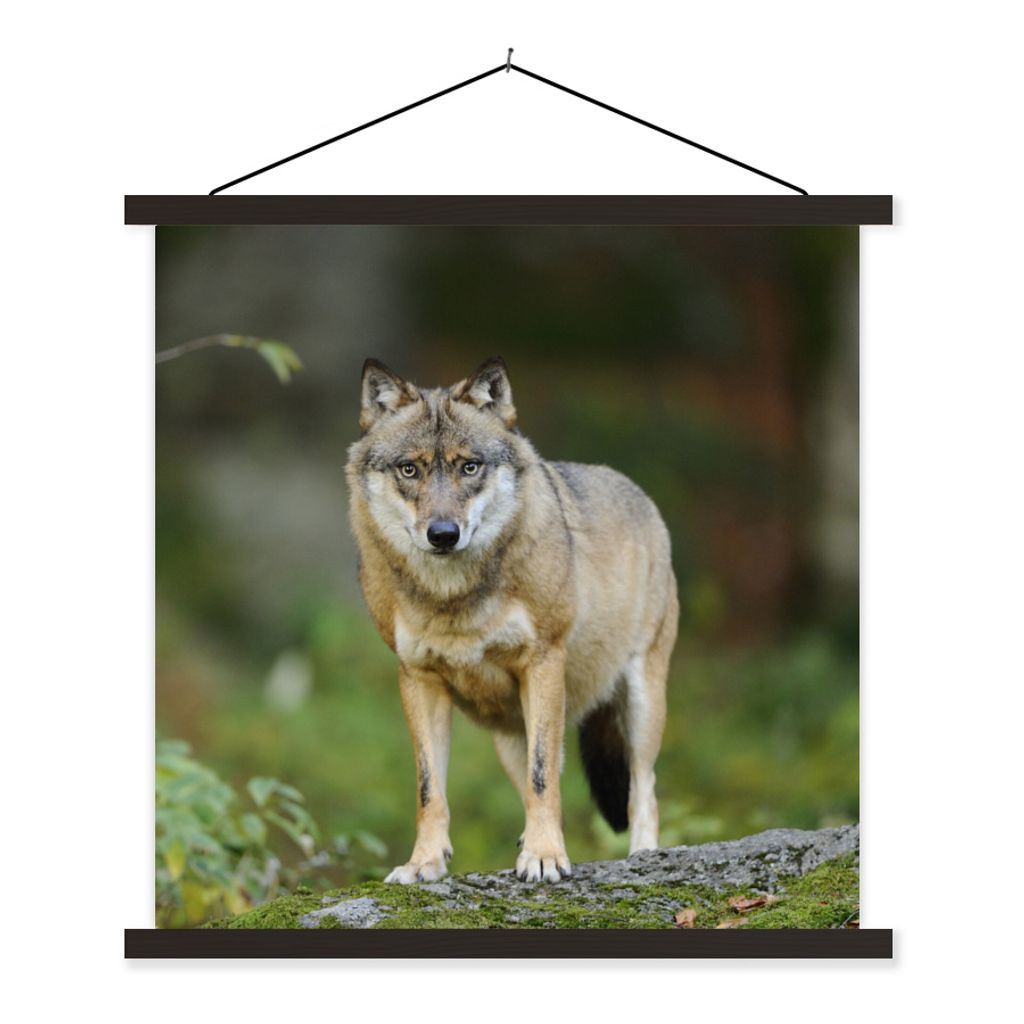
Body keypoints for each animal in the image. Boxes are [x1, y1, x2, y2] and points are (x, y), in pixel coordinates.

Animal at [345, 357, 678, 883]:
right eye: (409, 469)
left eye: (469, 466)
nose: (443, 534)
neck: (454, 600)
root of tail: (637, 491)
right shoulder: (418, 679)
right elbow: (430, 789)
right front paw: (424, 863)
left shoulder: (542, 662)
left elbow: (544, 781)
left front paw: (543, 858)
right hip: (508, 736)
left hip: (641, 702)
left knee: (642, 789)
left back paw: (641, 856)